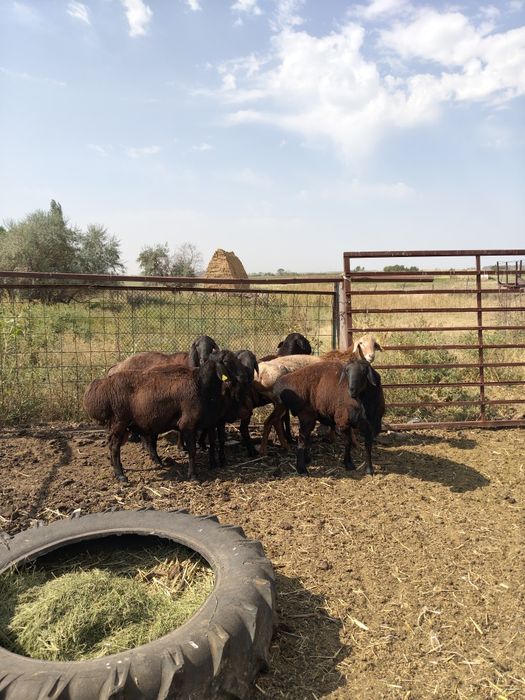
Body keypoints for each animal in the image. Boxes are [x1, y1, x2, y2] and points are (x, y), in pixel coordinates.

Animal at [83, 350, 243, 482]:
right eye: (227, 361)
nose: (241, 378)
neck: (201, 385)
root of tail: (103, 385)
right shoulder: (188, 424)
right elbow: (192, 450)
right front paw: (193, 476)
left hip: (120, 425)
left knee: (112, 445)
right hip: (119, 422)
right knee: (115, 447)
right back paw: (121, 475)